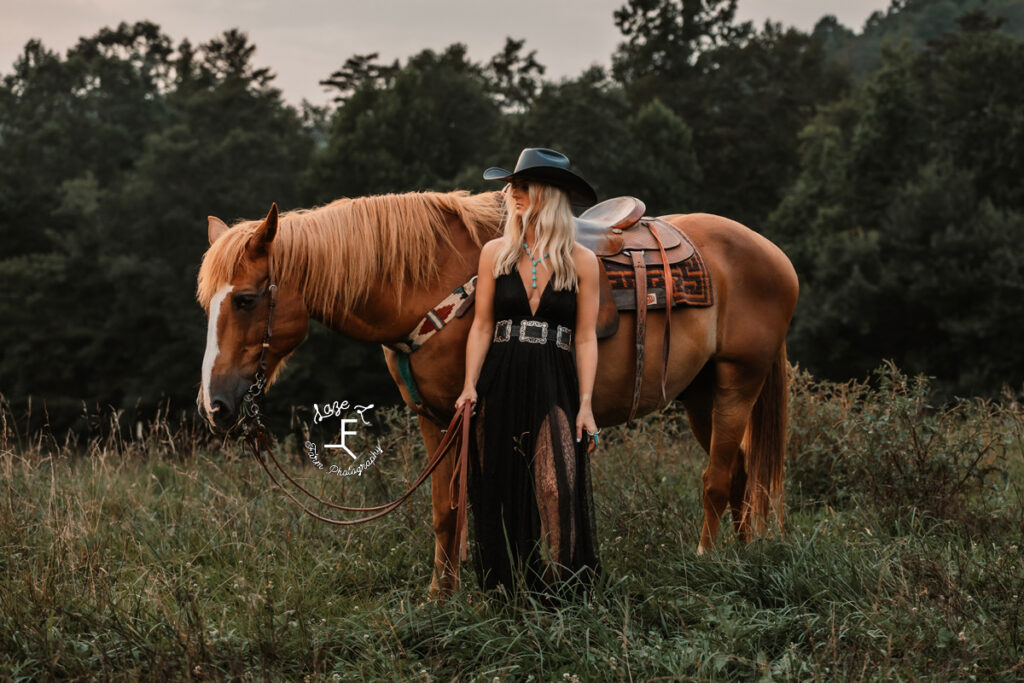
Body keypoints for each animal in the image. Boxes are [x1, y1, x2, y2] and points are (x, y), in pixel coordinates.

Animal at [195, 189, 794, 593]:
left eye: (245, 299)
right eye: (208, 303)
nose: (215, 406)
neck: (431, 284)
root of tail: (772, 254)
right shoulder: (436, 416)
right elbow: (444, 509)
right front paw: (440, 595)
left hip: (738, 381)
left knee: (717, 480)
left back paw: (708, 560)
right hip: (700, 394)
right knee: (739, 476)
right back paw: (741, 559)